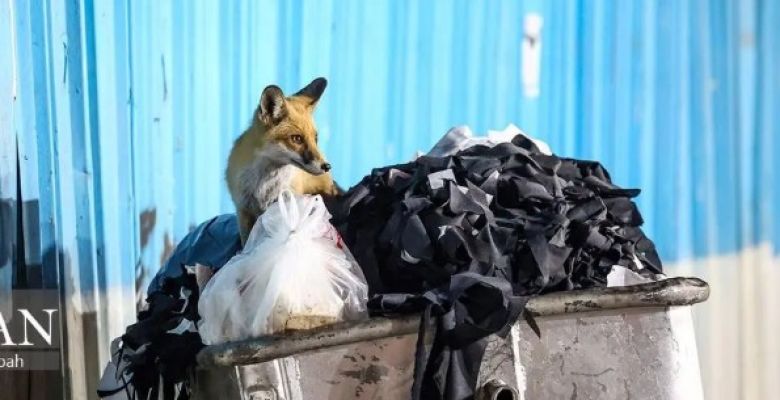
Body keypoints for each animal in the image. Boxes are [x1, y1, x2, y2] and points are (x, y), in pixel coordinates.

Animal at [226, 77, 340, 244]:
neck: (264, 186)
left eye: (315, 139)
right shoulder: (243, 211)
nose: (327, 166)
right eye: (297, 139)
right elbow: (246, 243)